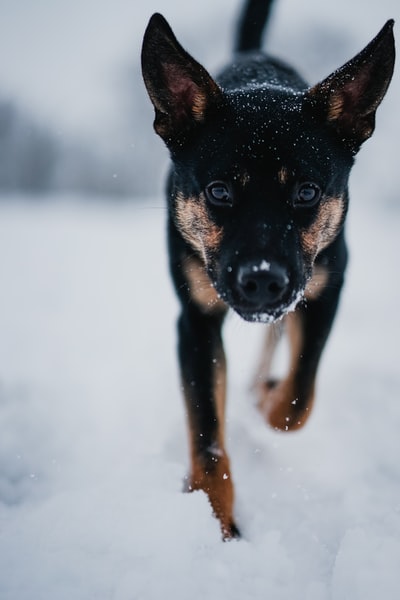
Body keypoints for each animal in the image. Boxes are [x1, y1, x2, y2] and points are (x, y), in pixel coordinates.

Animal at [140, 1, 394, 540]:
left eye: (306, 192)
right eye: (219, 191)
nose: (261, 279)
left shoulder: (325, 289)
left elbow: (298, 397)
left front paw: (265, 398)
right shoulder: (195, 321)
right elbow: (207, 436)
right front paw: (216, 524)